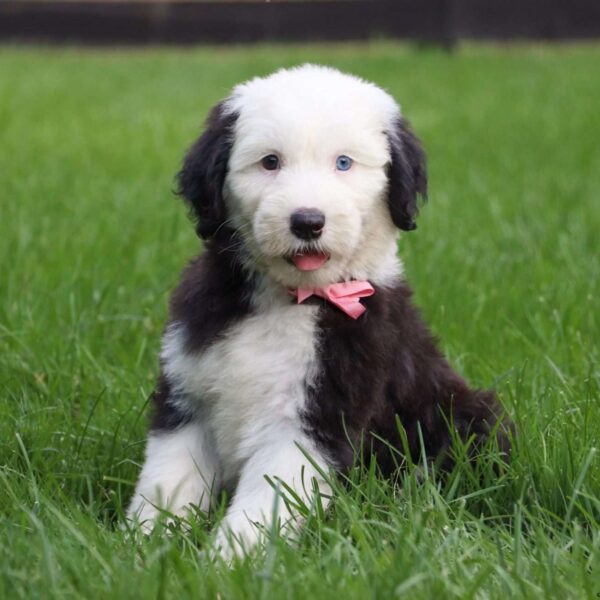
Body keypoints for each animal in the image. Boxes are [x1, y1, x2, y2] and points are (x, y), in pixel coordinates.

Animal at [127, 64, 510, 552]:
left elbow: (263, 505)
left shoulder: (313, 417)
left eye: (343, 163)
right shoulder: (188, 399)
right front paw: (144, 546)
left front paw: (228, 560)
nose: (307, 222)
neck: (292, 300)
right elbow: (167, 483)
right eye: (270, 161)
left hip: (465, 416)